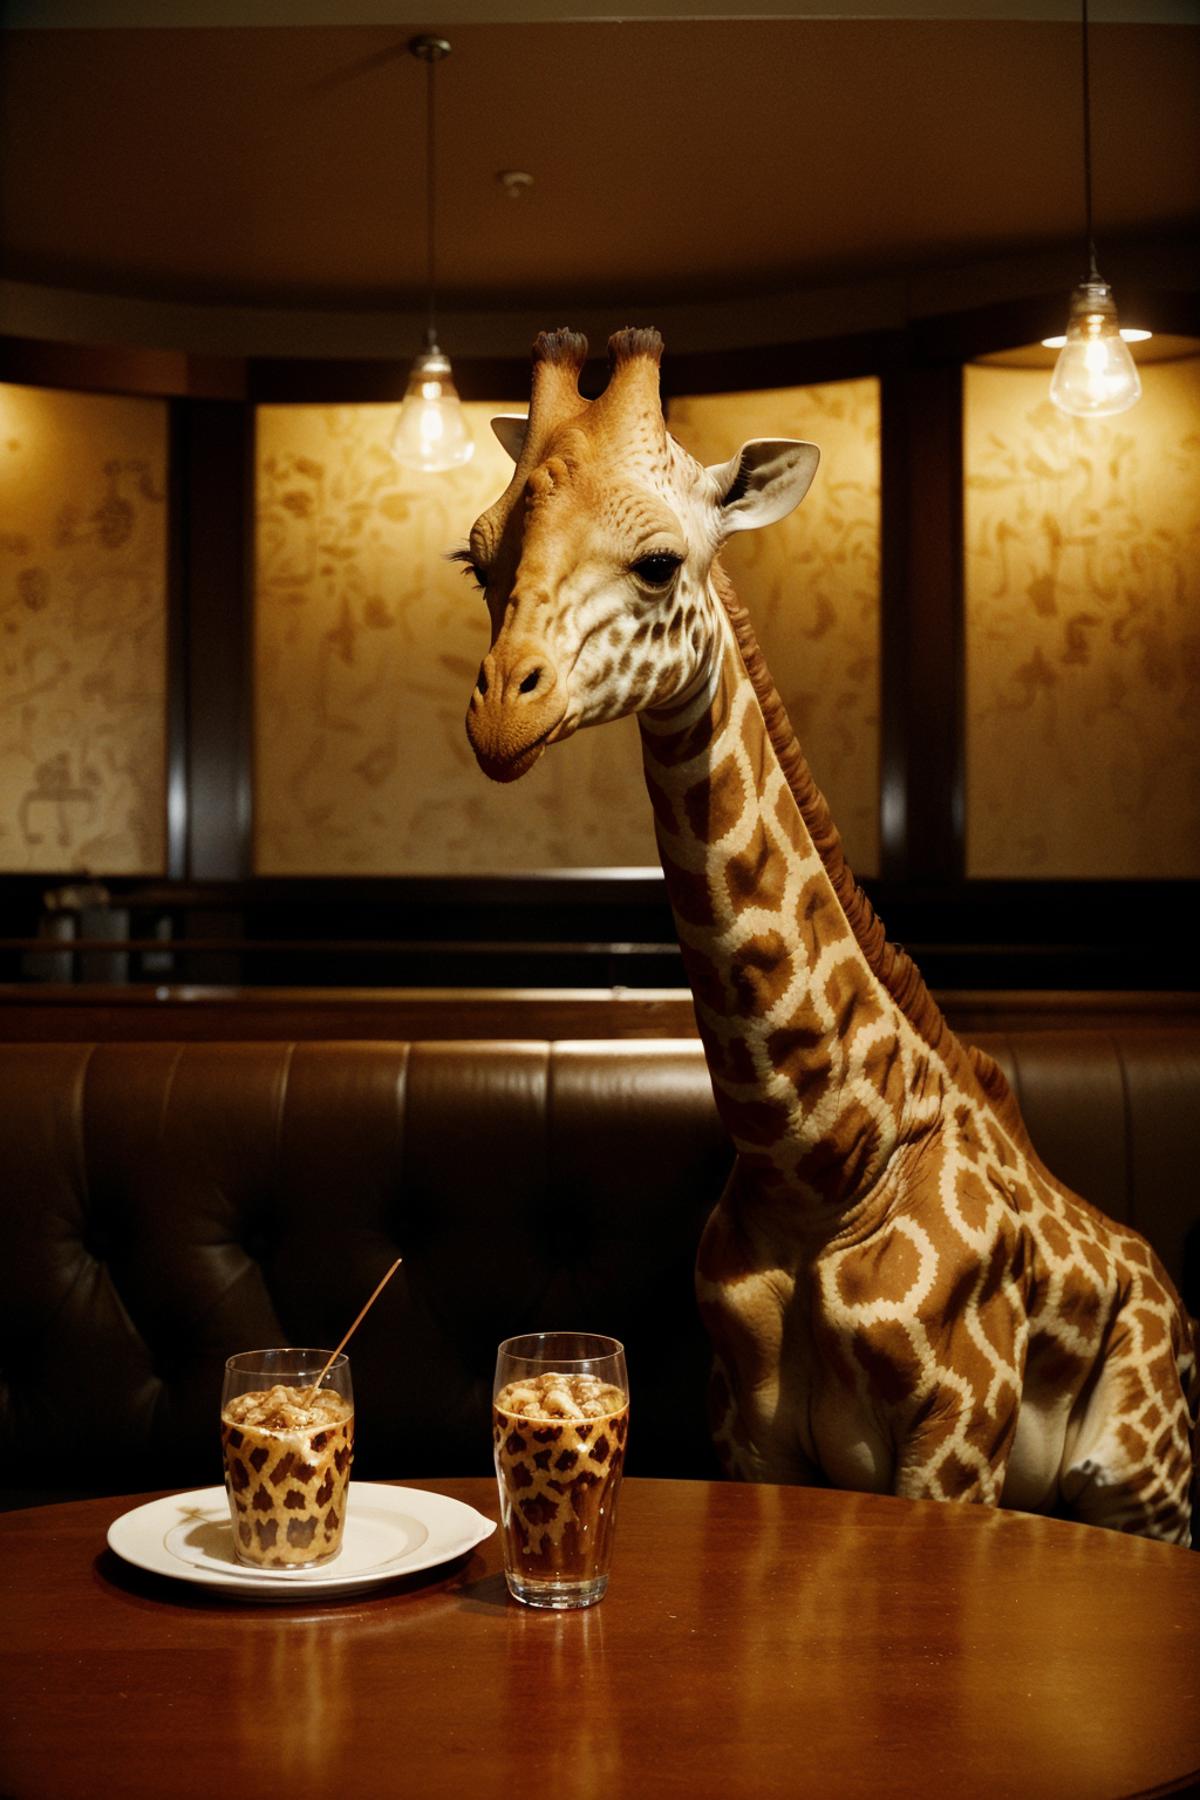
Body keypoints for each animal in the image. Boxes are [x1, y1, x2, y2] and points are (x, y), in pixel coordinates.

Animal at [464, 327, 1200, 1548]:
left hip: (1139, 1485)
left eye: (659, 563)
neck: (816, 1159)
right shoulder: (751, 1439)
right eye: (478, 562)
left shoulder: (958, 1443)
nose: (500, 715)